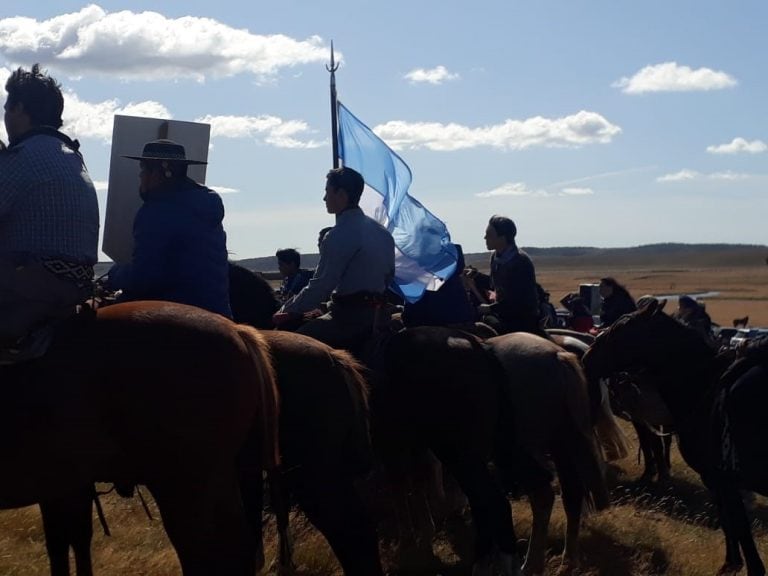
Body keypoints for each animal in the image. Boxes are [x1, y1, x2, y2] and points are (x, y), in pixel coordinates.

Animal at [584, 302, 768, 576]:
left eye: (621, 329)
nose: (587, 359)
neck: (702, 387)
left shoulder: (725, 481)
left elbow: (739, 529)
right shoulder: (715, 480)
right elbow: (727, 522)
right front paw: (730, 563)